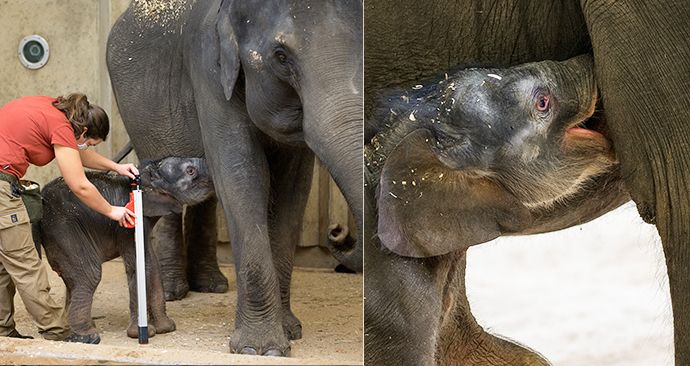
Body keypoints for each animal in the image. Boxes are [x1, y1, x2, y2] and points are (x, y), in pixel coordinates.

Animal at [37, 157, 212, 344]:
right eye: (190, 171)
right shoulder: (128, 226)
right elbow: (139, 266)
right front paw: (143, 334)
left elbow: (152, 265)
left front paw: (166, 328)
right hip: (63, 229)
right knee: (89, 274)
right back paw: (88, 337)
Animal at [107, 0, 360, 356]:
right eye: (281, 57)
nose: (337, 232)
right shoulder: (209, 71)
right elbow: (241, 172)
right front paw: (260, 349)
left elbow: (292, 189)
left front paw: (290, 331)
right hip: (140, 116)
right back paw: (175, 291)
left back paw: (210, 286)